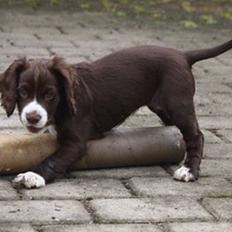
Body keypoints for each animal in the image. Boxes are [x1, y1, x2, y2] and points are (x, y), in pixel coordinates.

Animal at [1, 40, 232, 188]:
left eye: (50, 95)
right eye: (22, 92)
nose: (32, 117)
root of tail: (183, 55)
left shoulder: (76, 142)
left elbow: (54, 159)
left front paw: (33, 176)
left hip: (177, 103)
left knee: (196, 135)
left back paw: (189, 170)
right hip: (163, 107)